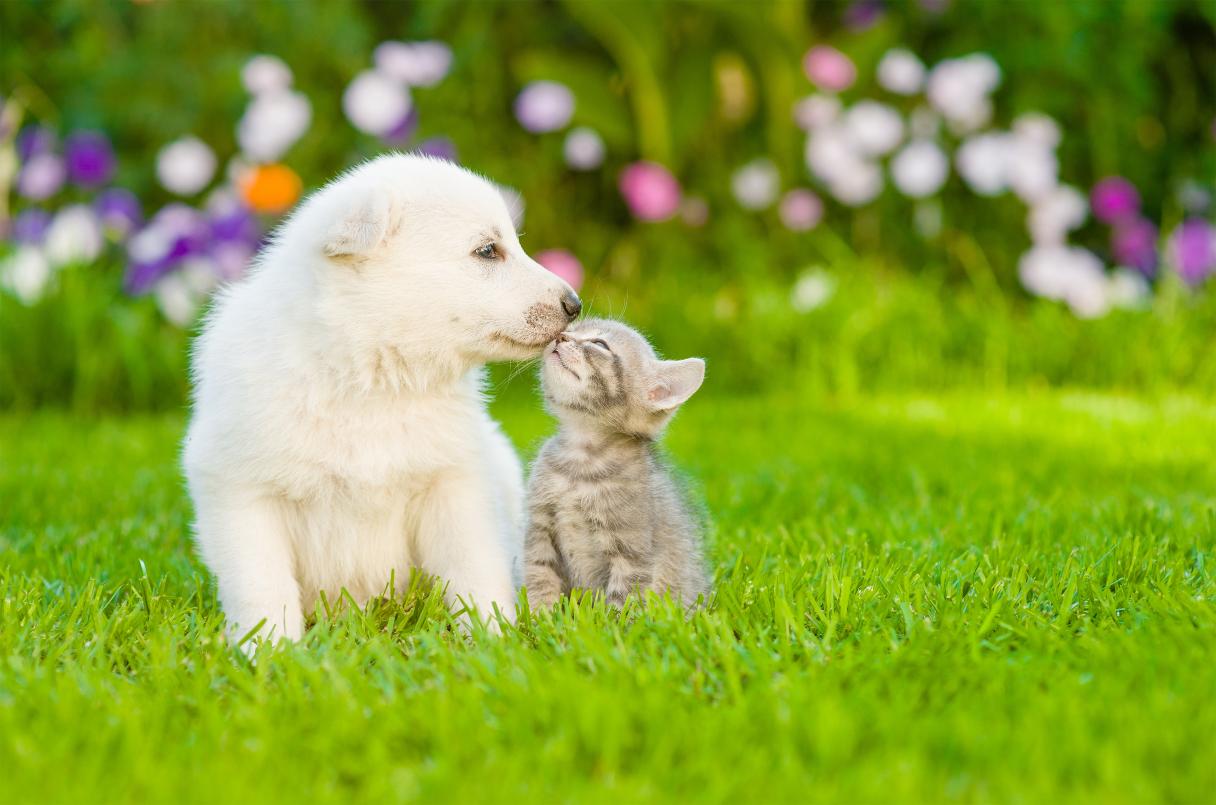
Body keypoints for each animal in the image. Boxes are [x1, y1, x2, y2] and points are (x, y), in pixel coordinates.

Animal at [181, 154, 578, 651]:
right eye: (488, 251)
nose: (575, 304)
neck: (370, 377)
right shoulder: (241, 492)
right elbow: (261, 584)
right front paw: (267, 651)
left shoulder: (454, 485)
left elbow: (475, 568)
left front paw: (494, 639)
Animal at [525, 318, 710, 608]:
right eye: (571, 329)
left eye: (600, 344)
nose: (560, 336)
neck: (582, 459)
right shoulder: (539, 531)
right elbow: (539, 578)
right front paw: (539, 616)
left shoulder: (632, 552)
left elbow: (621, 602)